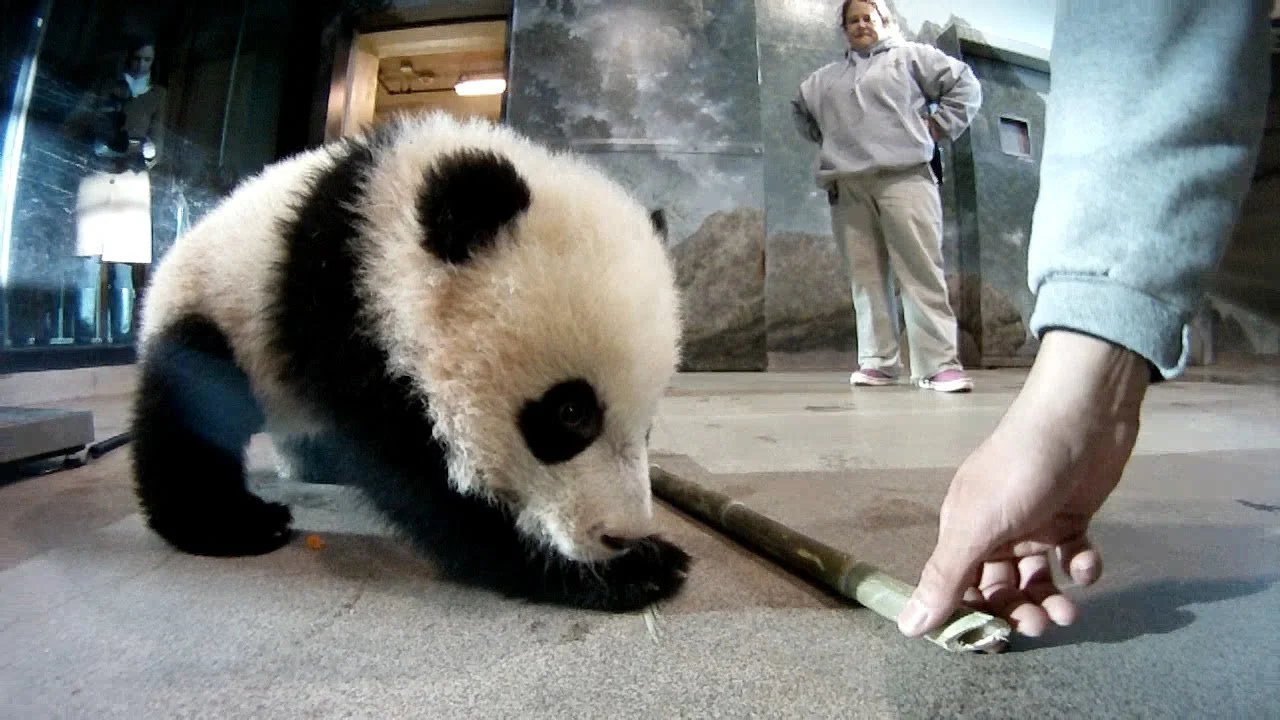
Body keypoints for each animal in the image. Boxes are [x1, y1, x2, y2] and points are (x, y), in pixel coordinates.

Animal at [130, 110, 690, 613]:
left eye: (648, 425)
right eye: (570, 412)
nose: (620, 535)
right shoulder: (339, 310)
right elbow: (416, 479)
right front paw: (630, 569)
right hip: (214, 311)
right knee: (194, 413)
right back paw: (234, 523)